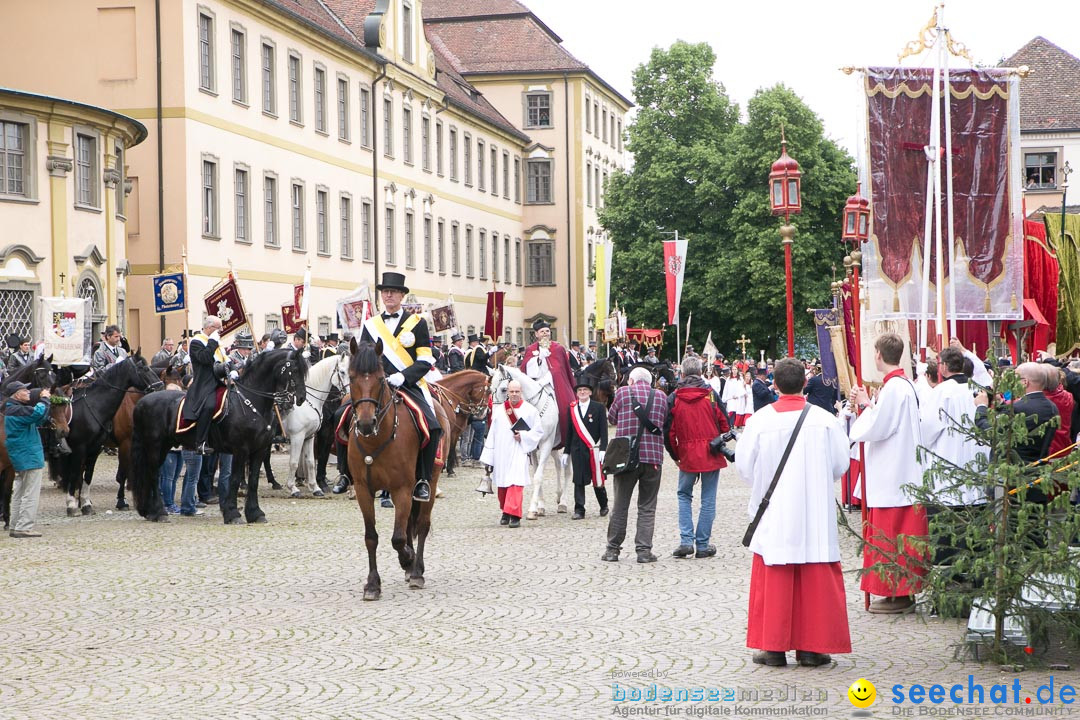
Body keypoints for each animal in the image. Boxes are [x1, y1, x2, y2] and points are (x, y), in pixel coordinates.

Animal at [52, 354, 162, 518]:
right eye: (144, 368)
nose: (161, 387)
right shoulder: (117, 444)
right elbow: (120, 474)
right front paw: (121, 501)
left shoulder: (95, 448)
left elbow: (88, 475)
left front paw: (85, 504)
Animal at [132, 347, 308, 524]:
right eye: (294, 370)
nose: (301, 398)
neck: (251, 403)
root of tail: (141, 402)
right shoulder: (241, 450)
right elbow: (235, 480)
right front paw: (233, 514)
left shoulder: (259, 449)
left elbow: (253, 481)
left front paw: (255, 513)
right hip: (154, 445)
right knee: (154, 475)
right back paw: (160, 512)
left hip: (163, 447)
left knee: (149, 474)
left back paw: (150, 512)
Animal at [280, 354, 347, 496]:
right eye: (342, 371)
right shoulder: (299, 436)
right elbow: (295, 462)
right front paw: (293, 488)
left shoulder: (309, 436)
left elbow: (311, 461)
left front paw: (315, 487)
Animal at [345, 341, 447, 600]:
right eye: (351, 377)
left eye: (381, 378)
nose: (365, 423)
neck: (376, 439)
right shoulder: (363, 489)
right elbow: (371, 537)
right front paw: (372, 584)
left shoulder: (402, 488)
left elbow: (398, 538)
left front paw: (408, 560)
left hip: (429, 479)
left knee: (422, 524)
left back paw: (416, 570)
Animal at [492, 367, 574, 518]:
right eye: (490, 389)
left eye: (503, 389)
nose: (494, 416)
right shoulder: (533, 448)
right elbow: (536, 473)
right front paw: (539, 506)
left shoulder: (546, 444)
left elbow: (538, 477)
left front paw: (532, 509)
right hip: (554, 447)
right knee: (558, 464)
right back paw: (559, 495)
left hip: (565, 445)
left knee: (567, 470)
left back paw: (563, 502)